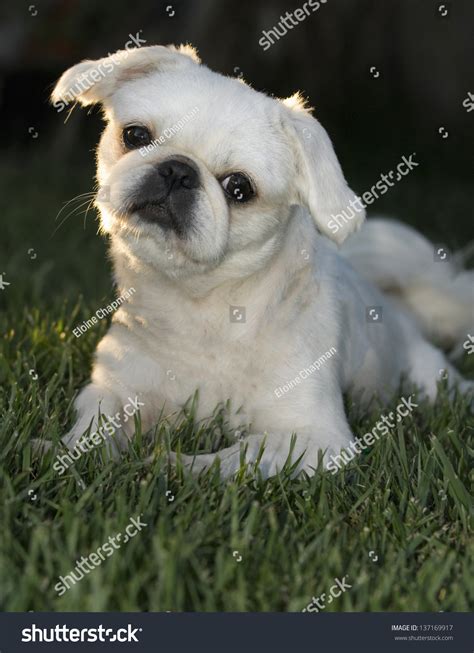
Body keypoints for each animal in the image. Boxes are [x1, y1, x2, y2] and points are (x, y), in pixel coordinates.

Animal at [46, 43, 472, 476]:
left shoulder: (315, 438)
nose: (178, 169)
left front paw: (172, 465)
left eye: (239, 188)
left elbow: (235, 458)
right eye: (135, 136)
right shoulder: (114, 388)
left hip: (431, 377)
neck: (201, 309)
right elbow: (94, 428)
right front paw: (62, 453)